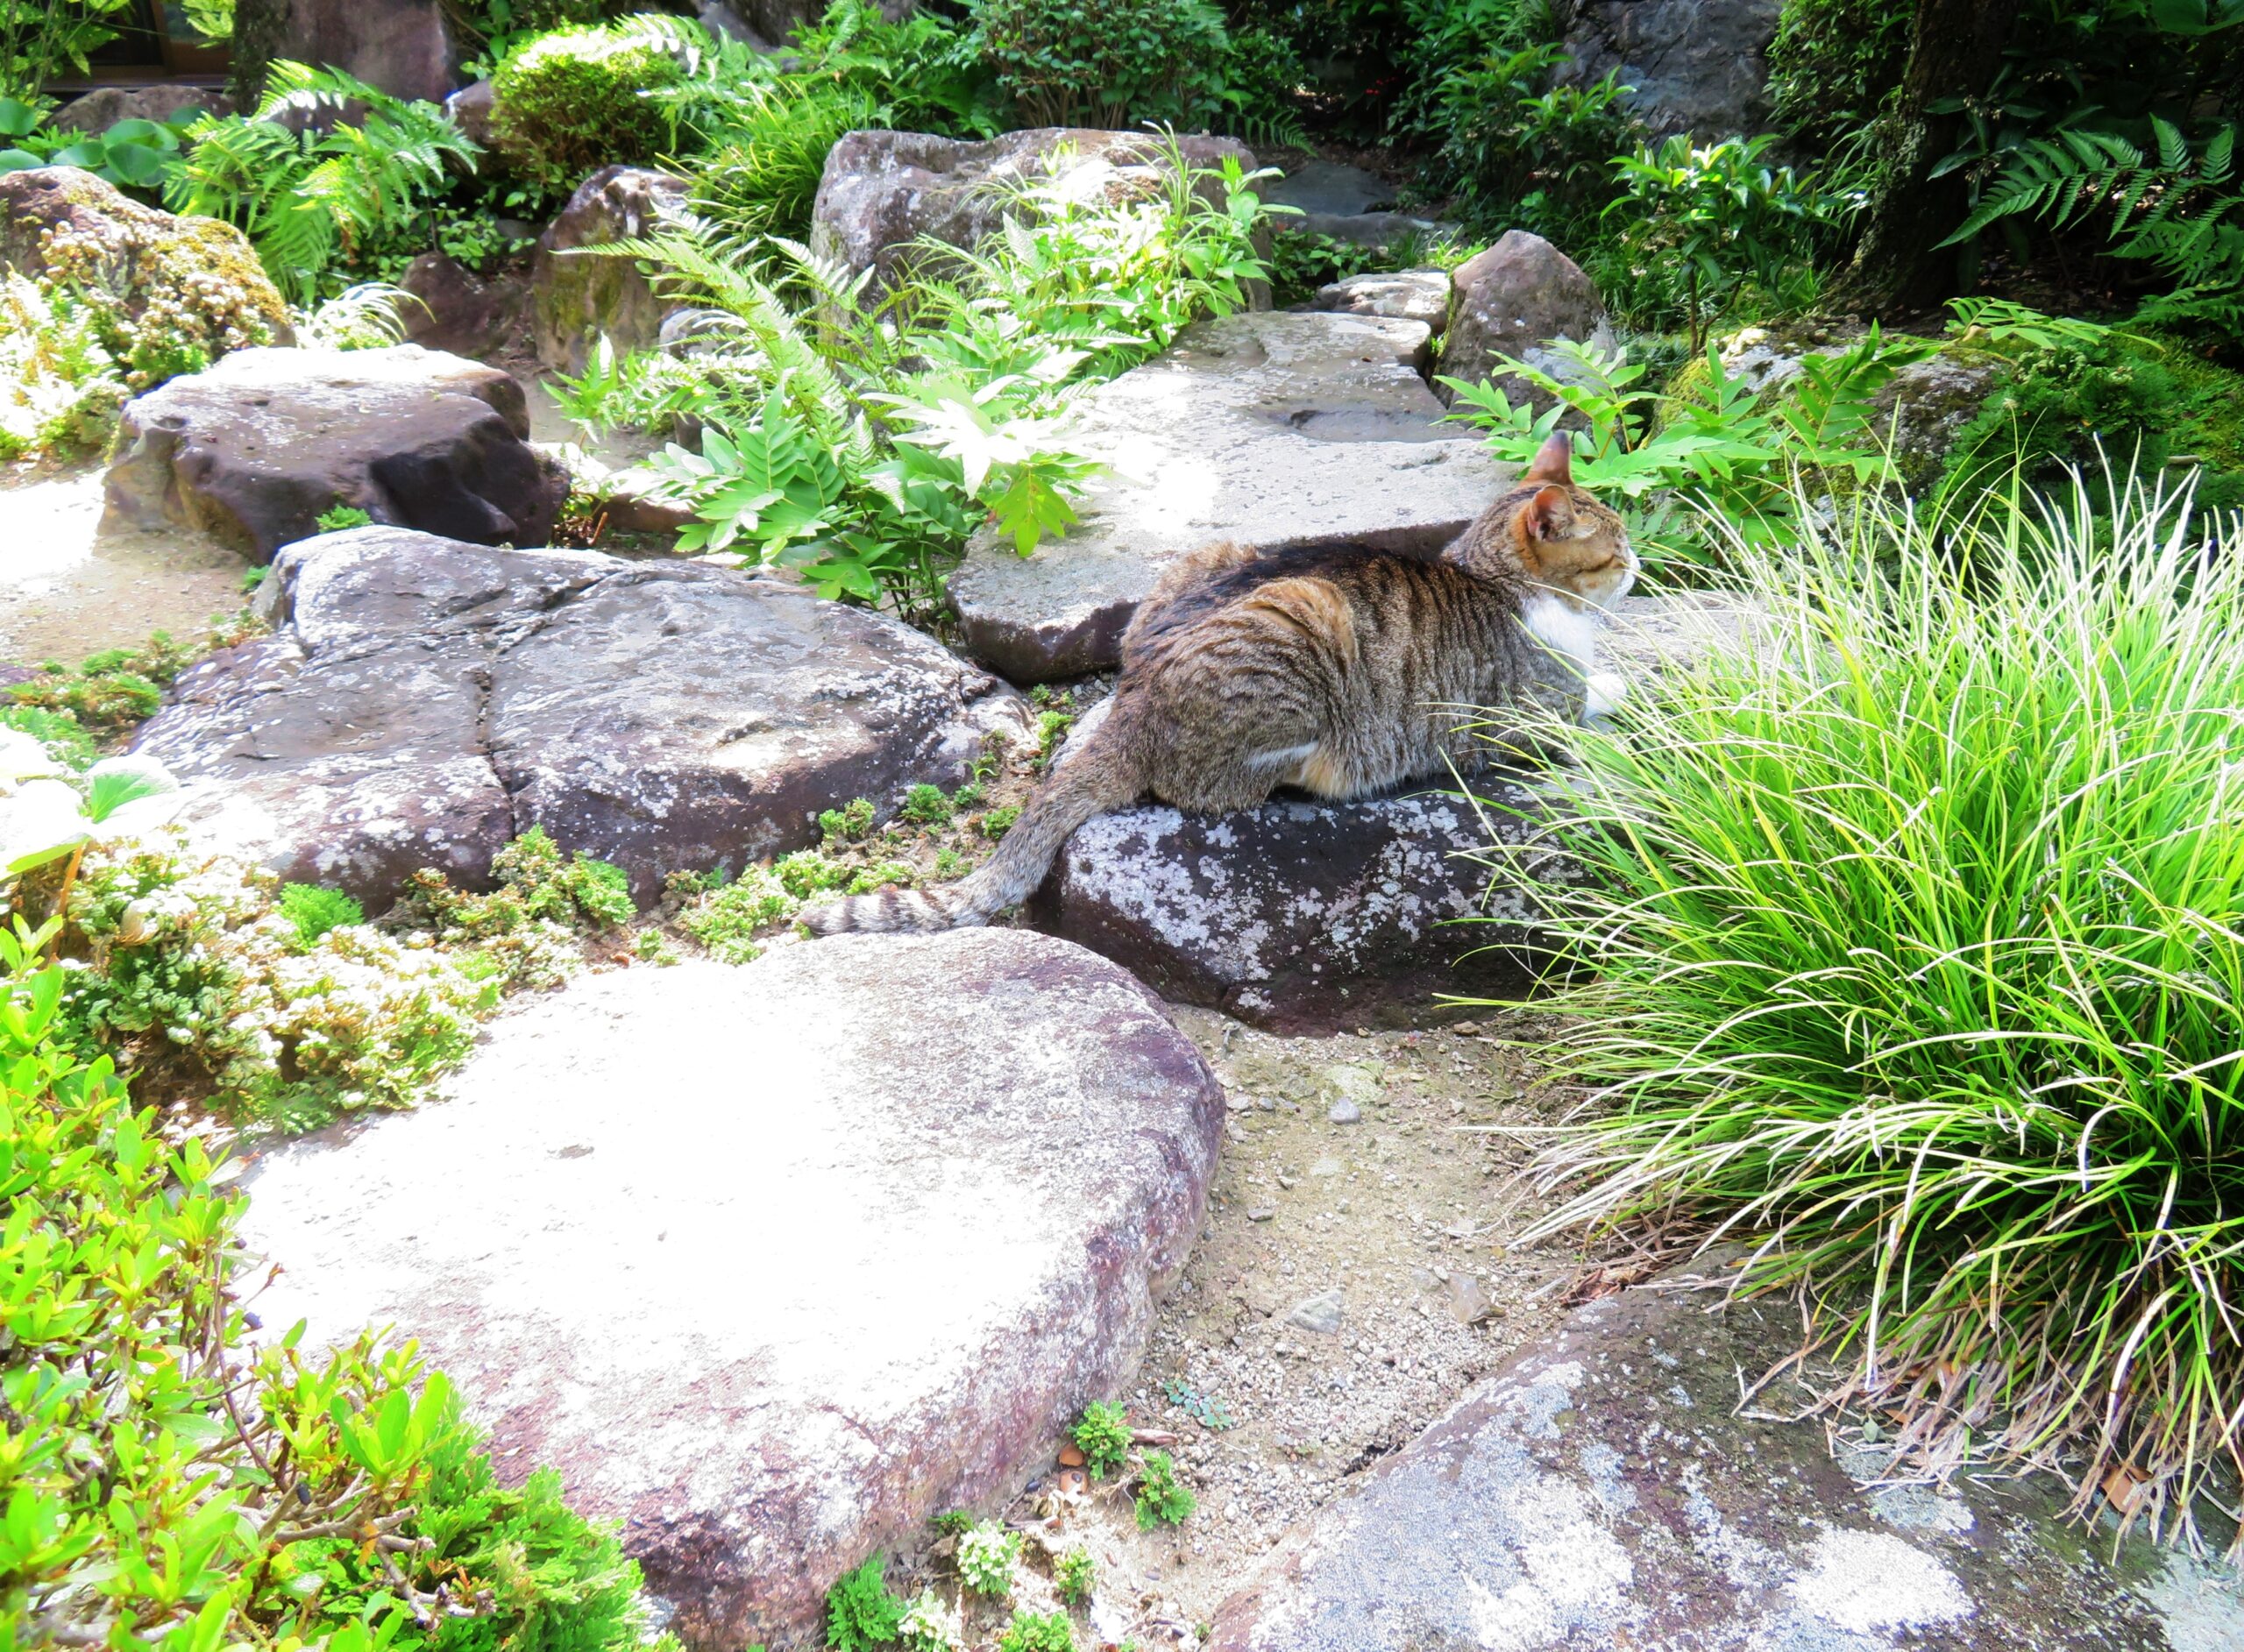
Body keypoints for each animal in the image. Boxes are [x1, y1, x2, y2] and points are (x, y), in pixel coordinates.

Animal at [807, 433, 1633, 933]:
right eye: (1615, 549)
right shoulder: (1530, 719)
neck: (1492, 576)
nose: (1639, 566)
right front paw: (1618, 687)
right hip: (1307, 623)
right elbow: (1590, 697)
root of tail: (1131, 698)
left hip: (1217, 552)